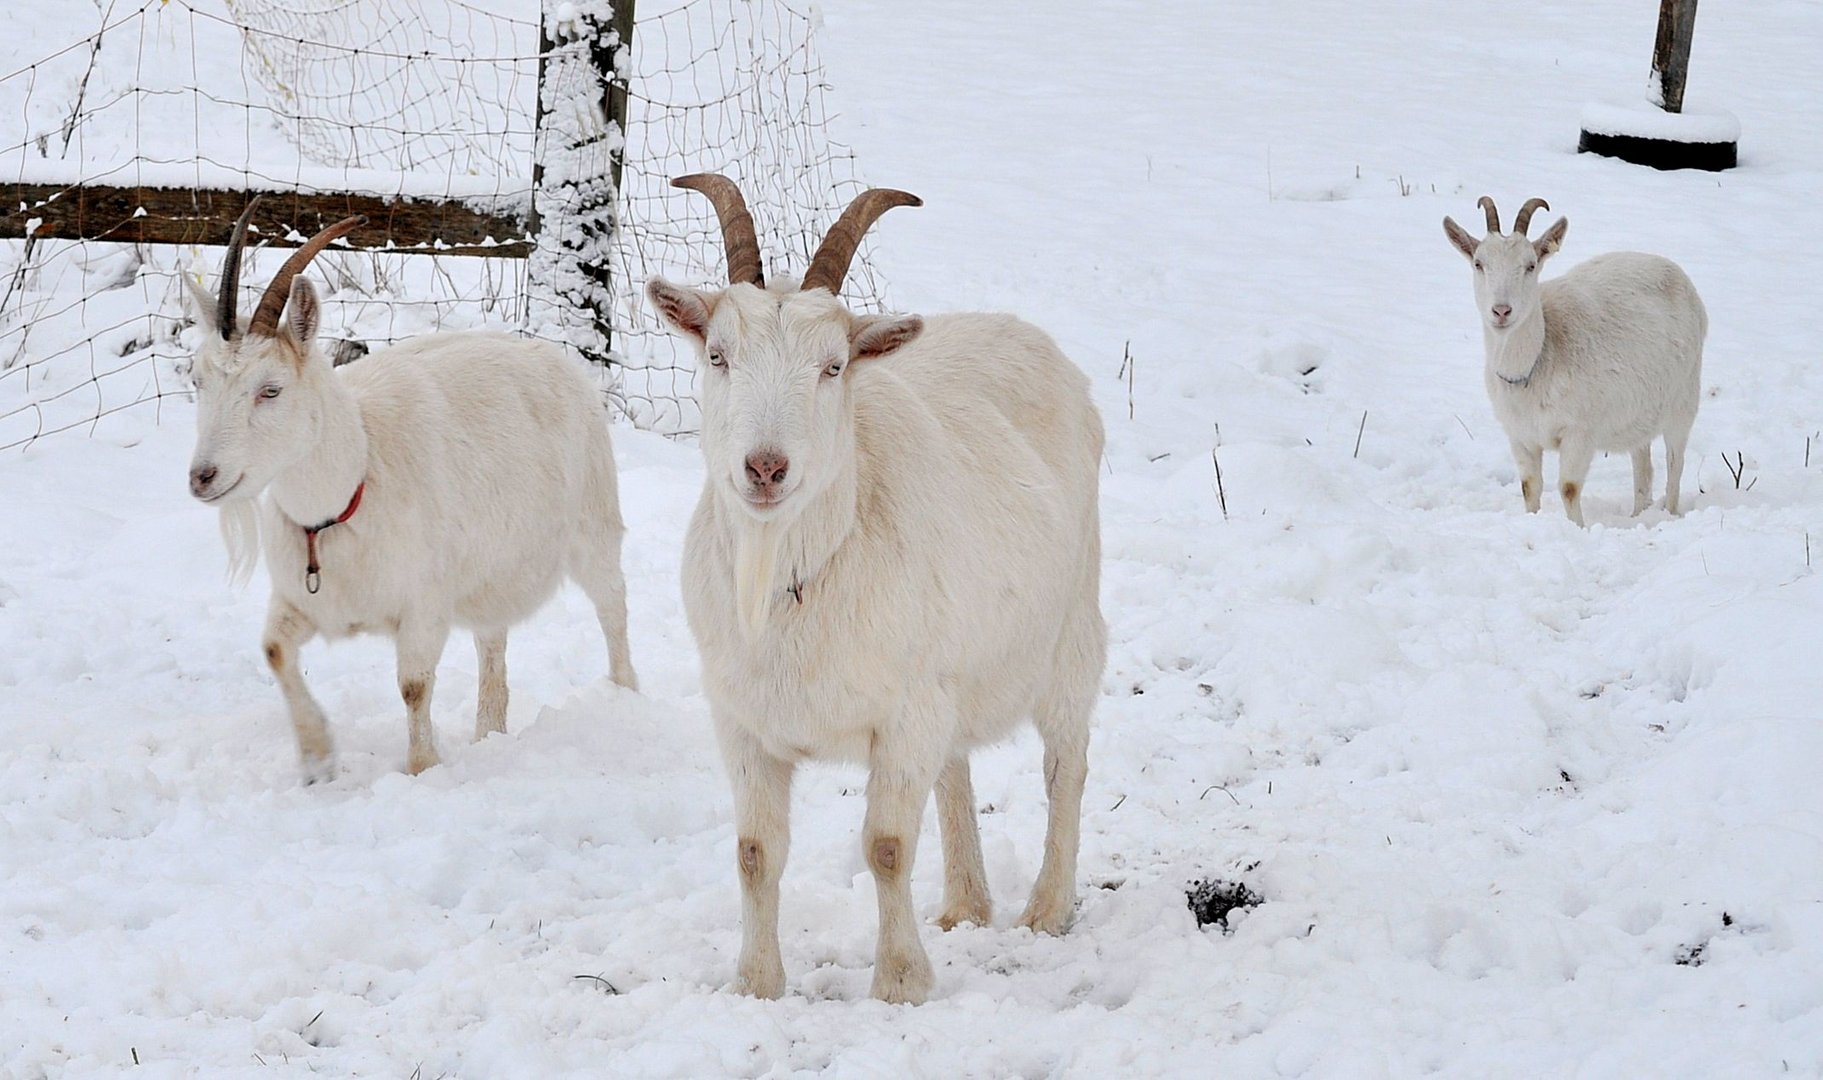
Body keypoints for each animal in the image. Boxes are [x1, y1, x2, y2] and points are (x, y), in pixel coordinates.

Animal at [184, 200, 638, 777]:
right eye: (197, 380)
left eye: (271, 389)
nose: (203, 476)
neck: (350, 492)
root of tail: (557, 359)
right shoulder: (301, 599)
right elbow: (274, 651)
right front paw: (317, 757)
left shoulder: (425, 604)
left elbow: (413, 686)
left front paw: (423, 766)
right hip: (491, 568)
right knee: (492, 637)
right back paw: (490, 731)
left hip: (593, 525)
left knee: (612, 605)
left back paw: (624, 695)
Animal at [656, 175, 1108, 1007]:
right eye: (718, 355)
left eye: (834, 365)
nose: (764, 468)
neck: (796, 580)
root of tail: (1016, 328)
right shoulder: (743, 722)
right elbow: (755, 852)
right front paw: (756, 984)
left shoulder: (903, 715)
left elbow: (888, 845)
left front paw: (899, 982)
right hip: (951, 671)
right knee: (955, 767)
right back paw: (964, 906)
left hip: (1069, 626)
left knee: (1066, 763)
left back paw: (1045, 909)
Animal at [1436, 199, 1706, 532]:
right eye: (1478, 263)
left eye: (1530, 265)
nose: (1501, 311)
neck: (1538, 360)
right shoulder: (1519, 435)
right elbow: (1529, 486)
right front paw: (1532, 522)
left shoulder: (1579, 431)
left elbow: (1568, 487)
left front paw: (1577, 528)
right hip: (1638, 411)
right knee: (1642, 462)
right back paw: (1638, 514)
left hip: (1684, 398)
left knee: (1674, 462)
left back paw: (1667, 514)